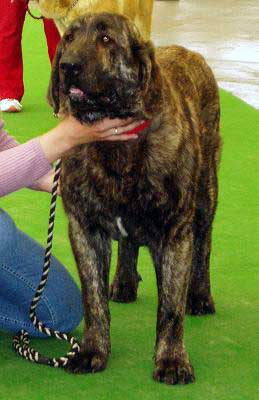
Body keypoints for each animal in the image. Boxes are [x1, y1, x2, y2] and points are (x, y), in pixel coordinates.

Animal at [48, 12, 221, 384]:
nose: (68, 66)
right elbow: (93, 299)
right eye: (68, 38)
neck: (117, 151)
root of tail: (188, 51)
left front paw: (171, 359)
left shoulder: (175, 234)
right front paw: (93, 350)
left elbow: (170, 307)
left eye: (106, 39)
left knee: (204, 247)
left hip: (205, 197)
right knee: (128, 244)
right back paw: (124, 282)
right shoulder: (85, 229)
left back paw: (200, 296)